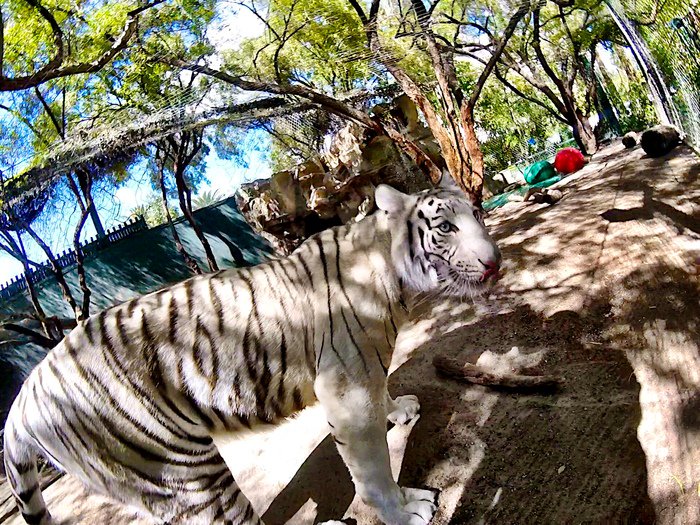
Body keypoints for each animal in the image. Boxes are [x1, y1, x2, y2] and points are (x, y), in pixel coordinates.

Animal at [3, 177, 501, 525]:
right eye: (446, 227)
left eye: (478, 213)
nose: (494, 261)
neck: (389, 271)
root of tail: (21, 401)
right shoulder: (347, 387)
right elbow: (373, 470)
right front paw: (405, 509)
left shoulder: (366, 373)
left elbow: (386, 393)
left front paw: (400, 409)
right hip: (185, 475)